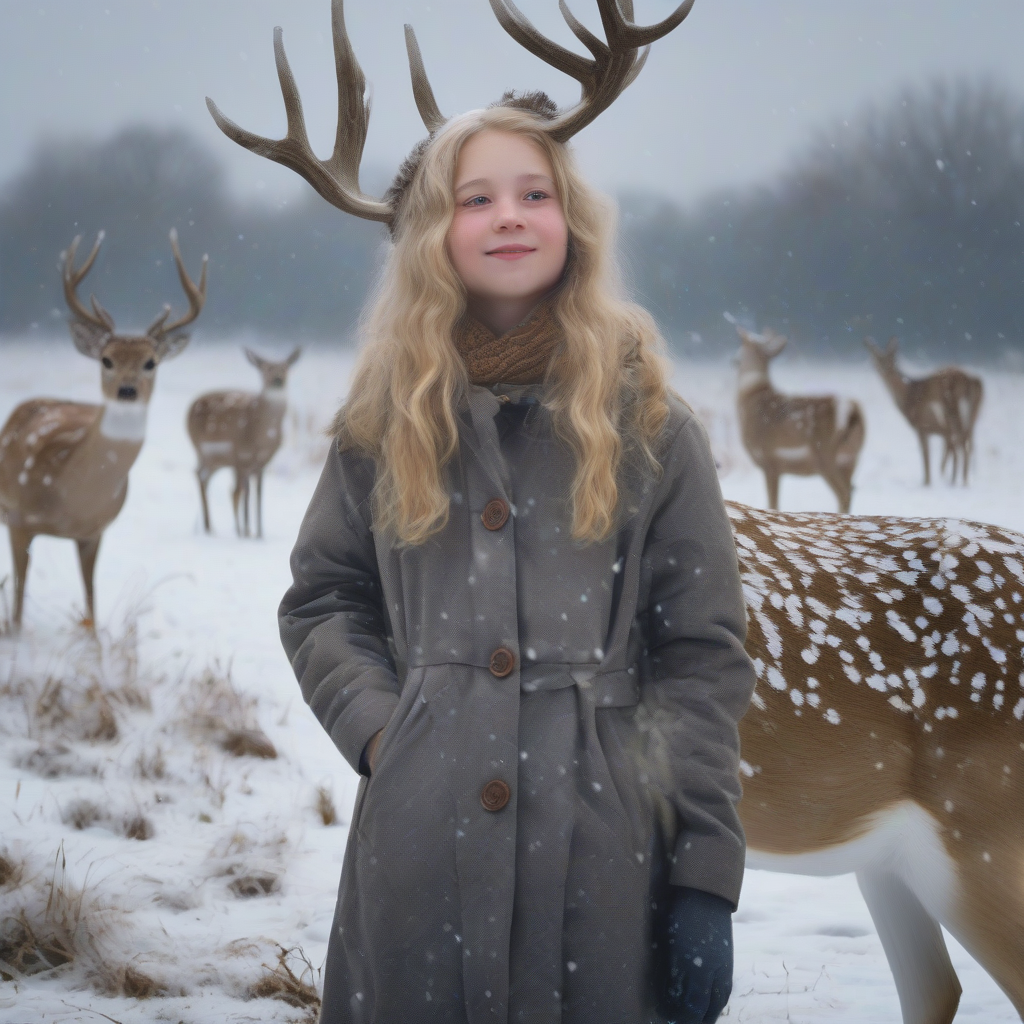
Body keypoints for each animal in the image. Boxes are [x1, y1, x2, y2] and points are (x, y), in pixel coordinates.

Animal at [0, 232, 205, 626]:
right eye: (106, 359)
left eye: (151, 362)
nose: (127, 390)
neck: (69, 494)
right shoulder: (19, 520)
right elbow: (17, 605)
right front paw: (15, 632)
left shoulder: (94, 532)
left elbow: (91, 605)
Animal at [186, 346, 301, 540]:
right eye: (265, 369)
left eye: (285, 368)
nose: (277, 380)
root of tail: (190, 407)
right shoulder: (242, 457)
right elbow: (246, 493)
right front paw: (247, 532)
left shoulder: (261, 463)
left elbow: (258, 494)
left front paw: (259, 533)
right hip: (203, 450)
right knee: (203, 476)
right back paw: (210, 527)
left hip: (217, 460)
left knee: (208, 478)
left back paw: (214, 527)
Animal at [737, 323, 864, 512]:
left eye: (743, 345)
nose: (734, 360)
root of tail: (851, 410)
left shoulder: (769, 461)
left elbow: (773, 504)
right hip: (850, 459)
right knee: (850, 490)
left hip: (825, 456)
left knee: (844, 494)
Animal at [864, 331, 983, 483]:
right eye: (877, 359)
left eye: (891, 359)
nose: (884, 368)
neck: (908, 394)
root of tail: (970, 380)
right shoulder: (933, 429)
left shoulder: (922, 427)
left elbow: (926, 460)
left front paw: (926, 483)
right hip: (967, 415)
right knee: (965, 442)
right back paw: (963, 481)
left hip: (952, 407)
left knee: (960, 444)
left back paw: (955, 481)